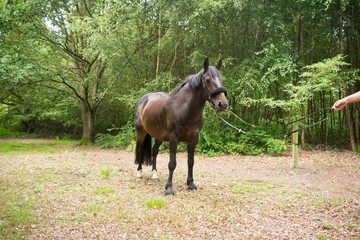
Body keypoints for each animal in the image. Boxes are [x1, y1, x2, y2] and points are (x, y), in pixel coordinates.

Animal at [134, 58, 229, 195]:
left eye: (222, 79)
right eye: (207, 80)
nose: (223, 104)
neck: (184, 109)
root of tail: (144, 99)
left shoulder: (194, 139)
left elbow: (191, 162)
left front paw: (191, 184)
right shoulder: (174, 139)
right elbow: (172, 164)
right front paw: (169, 188)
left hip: (159, 136)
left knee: (154, 150)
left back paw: (155, 174)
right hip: (141, 133)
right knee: (140, 149)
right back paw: (139, 173)